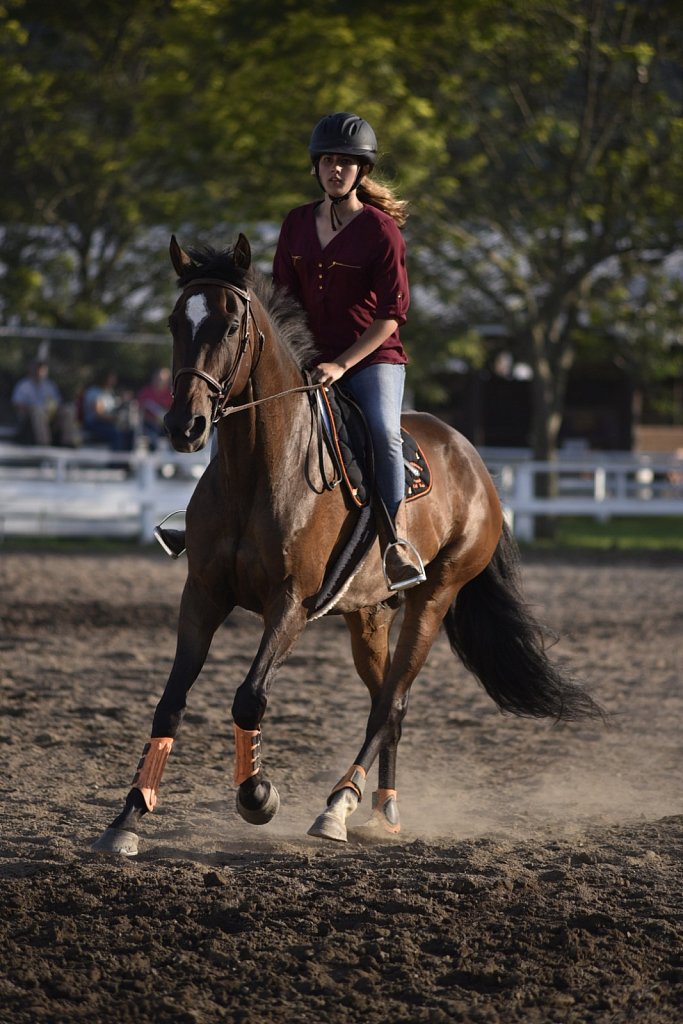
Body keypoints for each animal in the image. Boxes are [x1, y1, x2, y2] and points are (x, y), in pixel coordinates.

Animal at [92, 234, 602, 856]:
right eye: (174, 323)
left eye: (232, 325)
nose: (182, 425)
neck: (259, 471)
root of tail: (475, 462)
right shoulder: (203, 595)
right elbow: (169, 704)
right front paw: (128, 817)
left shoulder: (290, 604)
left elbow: (249, 696)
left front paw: (258, 796)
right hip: (369, 616)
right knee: (391, 704)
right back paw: (382, 810)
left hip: (433, 599)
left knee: (389, 704)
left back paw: (338, 806)